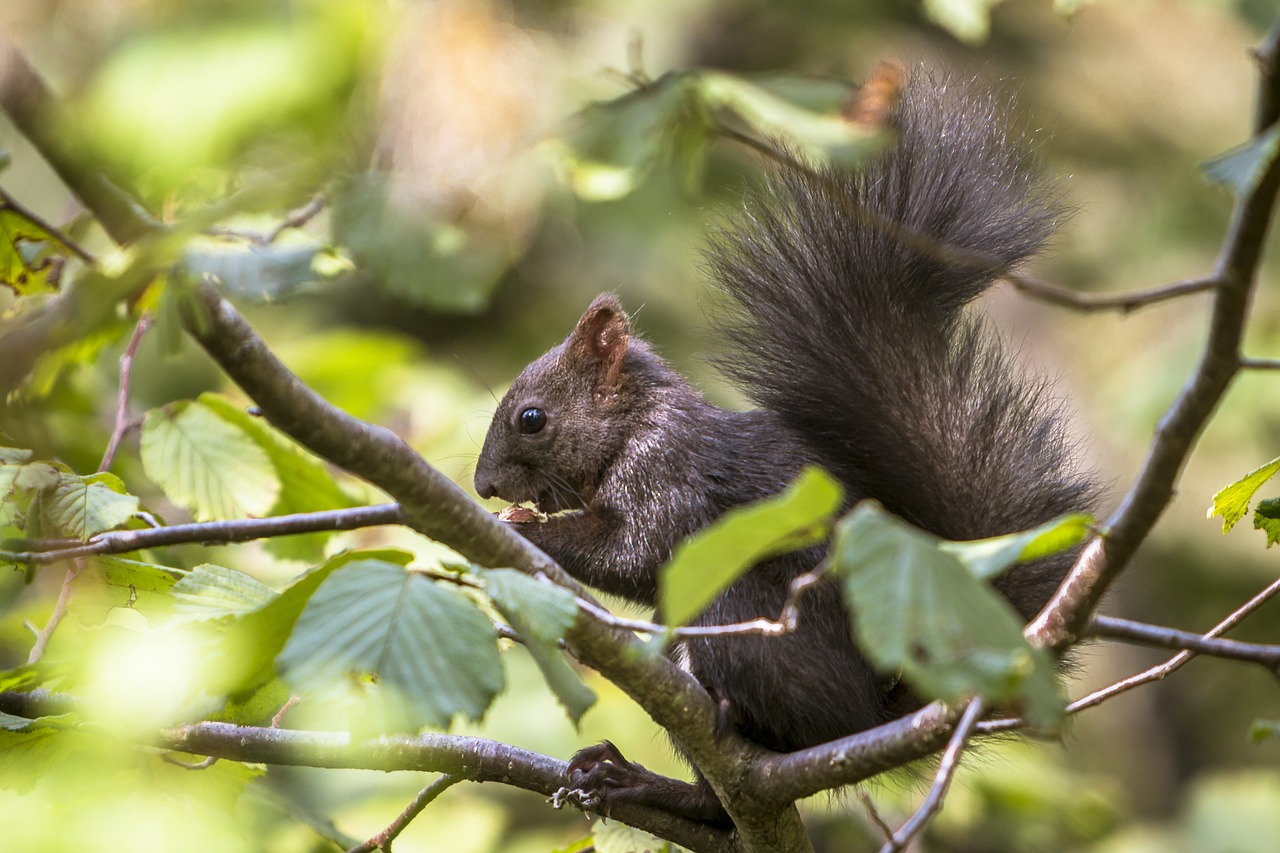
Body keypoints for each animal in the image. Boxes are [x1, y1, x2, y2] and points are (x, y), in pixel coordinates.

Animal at [476, 71, 1095, 824]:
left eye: (532, 418)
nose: (483, 486)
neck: (635, 424)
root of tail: (874, 714)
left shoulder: (672, 469)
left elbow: (635, 553)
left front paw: (525, 534)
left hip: (742, 619)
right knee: (723, 800)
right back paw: (637, 781)